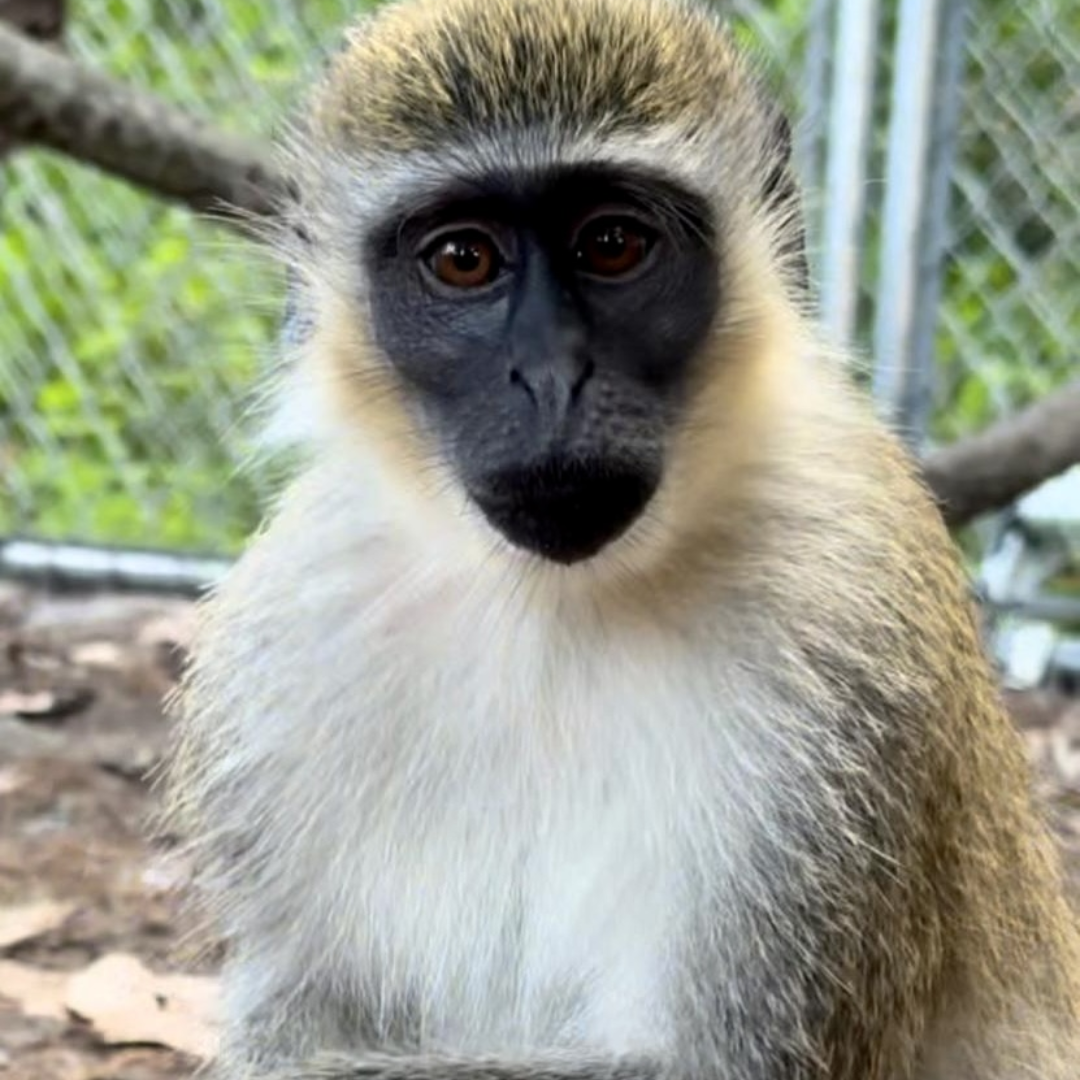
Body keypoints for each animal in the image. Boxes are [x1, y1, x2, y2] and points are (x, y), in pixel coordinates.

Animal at [163, 0, 1080, 1077]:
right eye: (464, 260)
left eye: (611, 244)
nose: (551, 376)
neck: (553, 602)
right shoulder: (288, 631)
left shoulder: (853, 632)